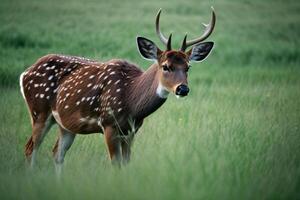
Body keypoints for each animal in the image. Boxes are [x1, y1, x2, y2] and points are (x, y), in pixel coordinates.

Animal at [19, 7, 216, 171]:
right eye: (166, 66)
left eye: (188, 67)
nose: (182, 89)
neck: (132, 101)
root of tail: (25, 73)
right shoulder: (108, 123)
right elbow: (115, 163)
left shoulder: (131, 130)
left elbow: (126, 163)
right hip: (39, 111)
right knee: (30, 148)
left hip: (65, 123)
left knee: (57, 153)